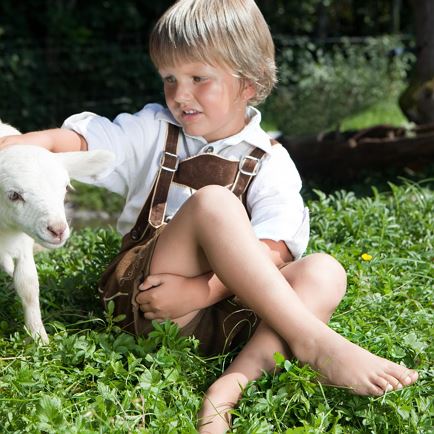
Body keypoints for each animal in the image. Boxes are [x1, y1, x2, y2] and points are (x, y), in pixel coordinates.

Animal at [0, 122, 114, 342]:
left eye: (66, 187)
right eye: (14, 195)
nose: (57, 230)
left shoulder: (23, 245)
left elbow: (28, 286)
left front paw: (39, 339)